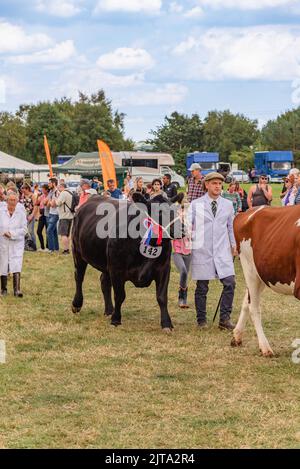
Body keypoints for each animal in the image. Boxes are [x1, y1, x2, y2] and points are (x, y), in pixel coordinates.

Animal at [71, 192, 183, 330]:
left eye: (176, 211)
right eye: (159, 212)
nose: (182, 229)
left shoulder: (164, 268)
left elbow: (162, 297)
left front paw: (166, 323)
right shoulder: (116, 269)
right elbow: (120, 295)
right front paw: (116, 319)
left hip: (106, 263)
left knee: (104, 282)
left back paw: (109, 310)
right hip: (78, 252)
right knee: (79, 277)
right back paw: (77, 304)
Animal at [231, 205, 298, 354]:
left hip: (261, 273)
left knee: (246, 301)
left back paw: (237, 336)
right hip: (249, 268)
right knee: (253, 307)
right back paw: (265, 347)